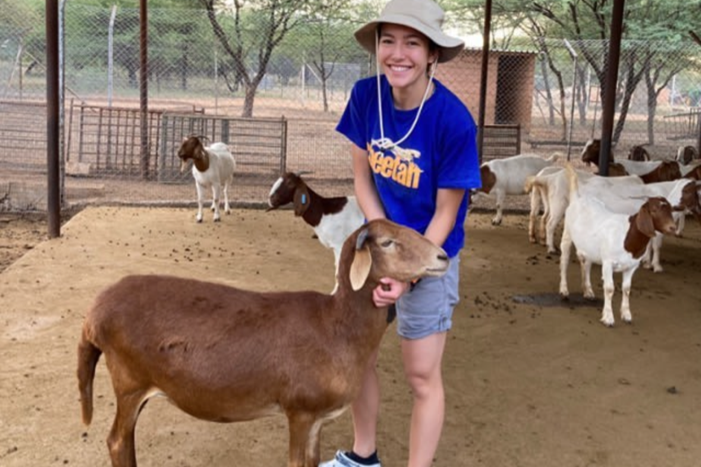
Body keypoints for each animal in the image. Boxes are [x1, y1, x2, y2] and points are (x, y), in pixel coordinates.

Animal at [76, 219, 448, 467]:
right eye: (387, 242)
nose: (443, 256)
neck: (337, 327)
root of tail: (93, 314)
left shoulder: (317, 419)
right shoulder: (300, 410)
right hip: (130, 380)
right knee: (117, 440)